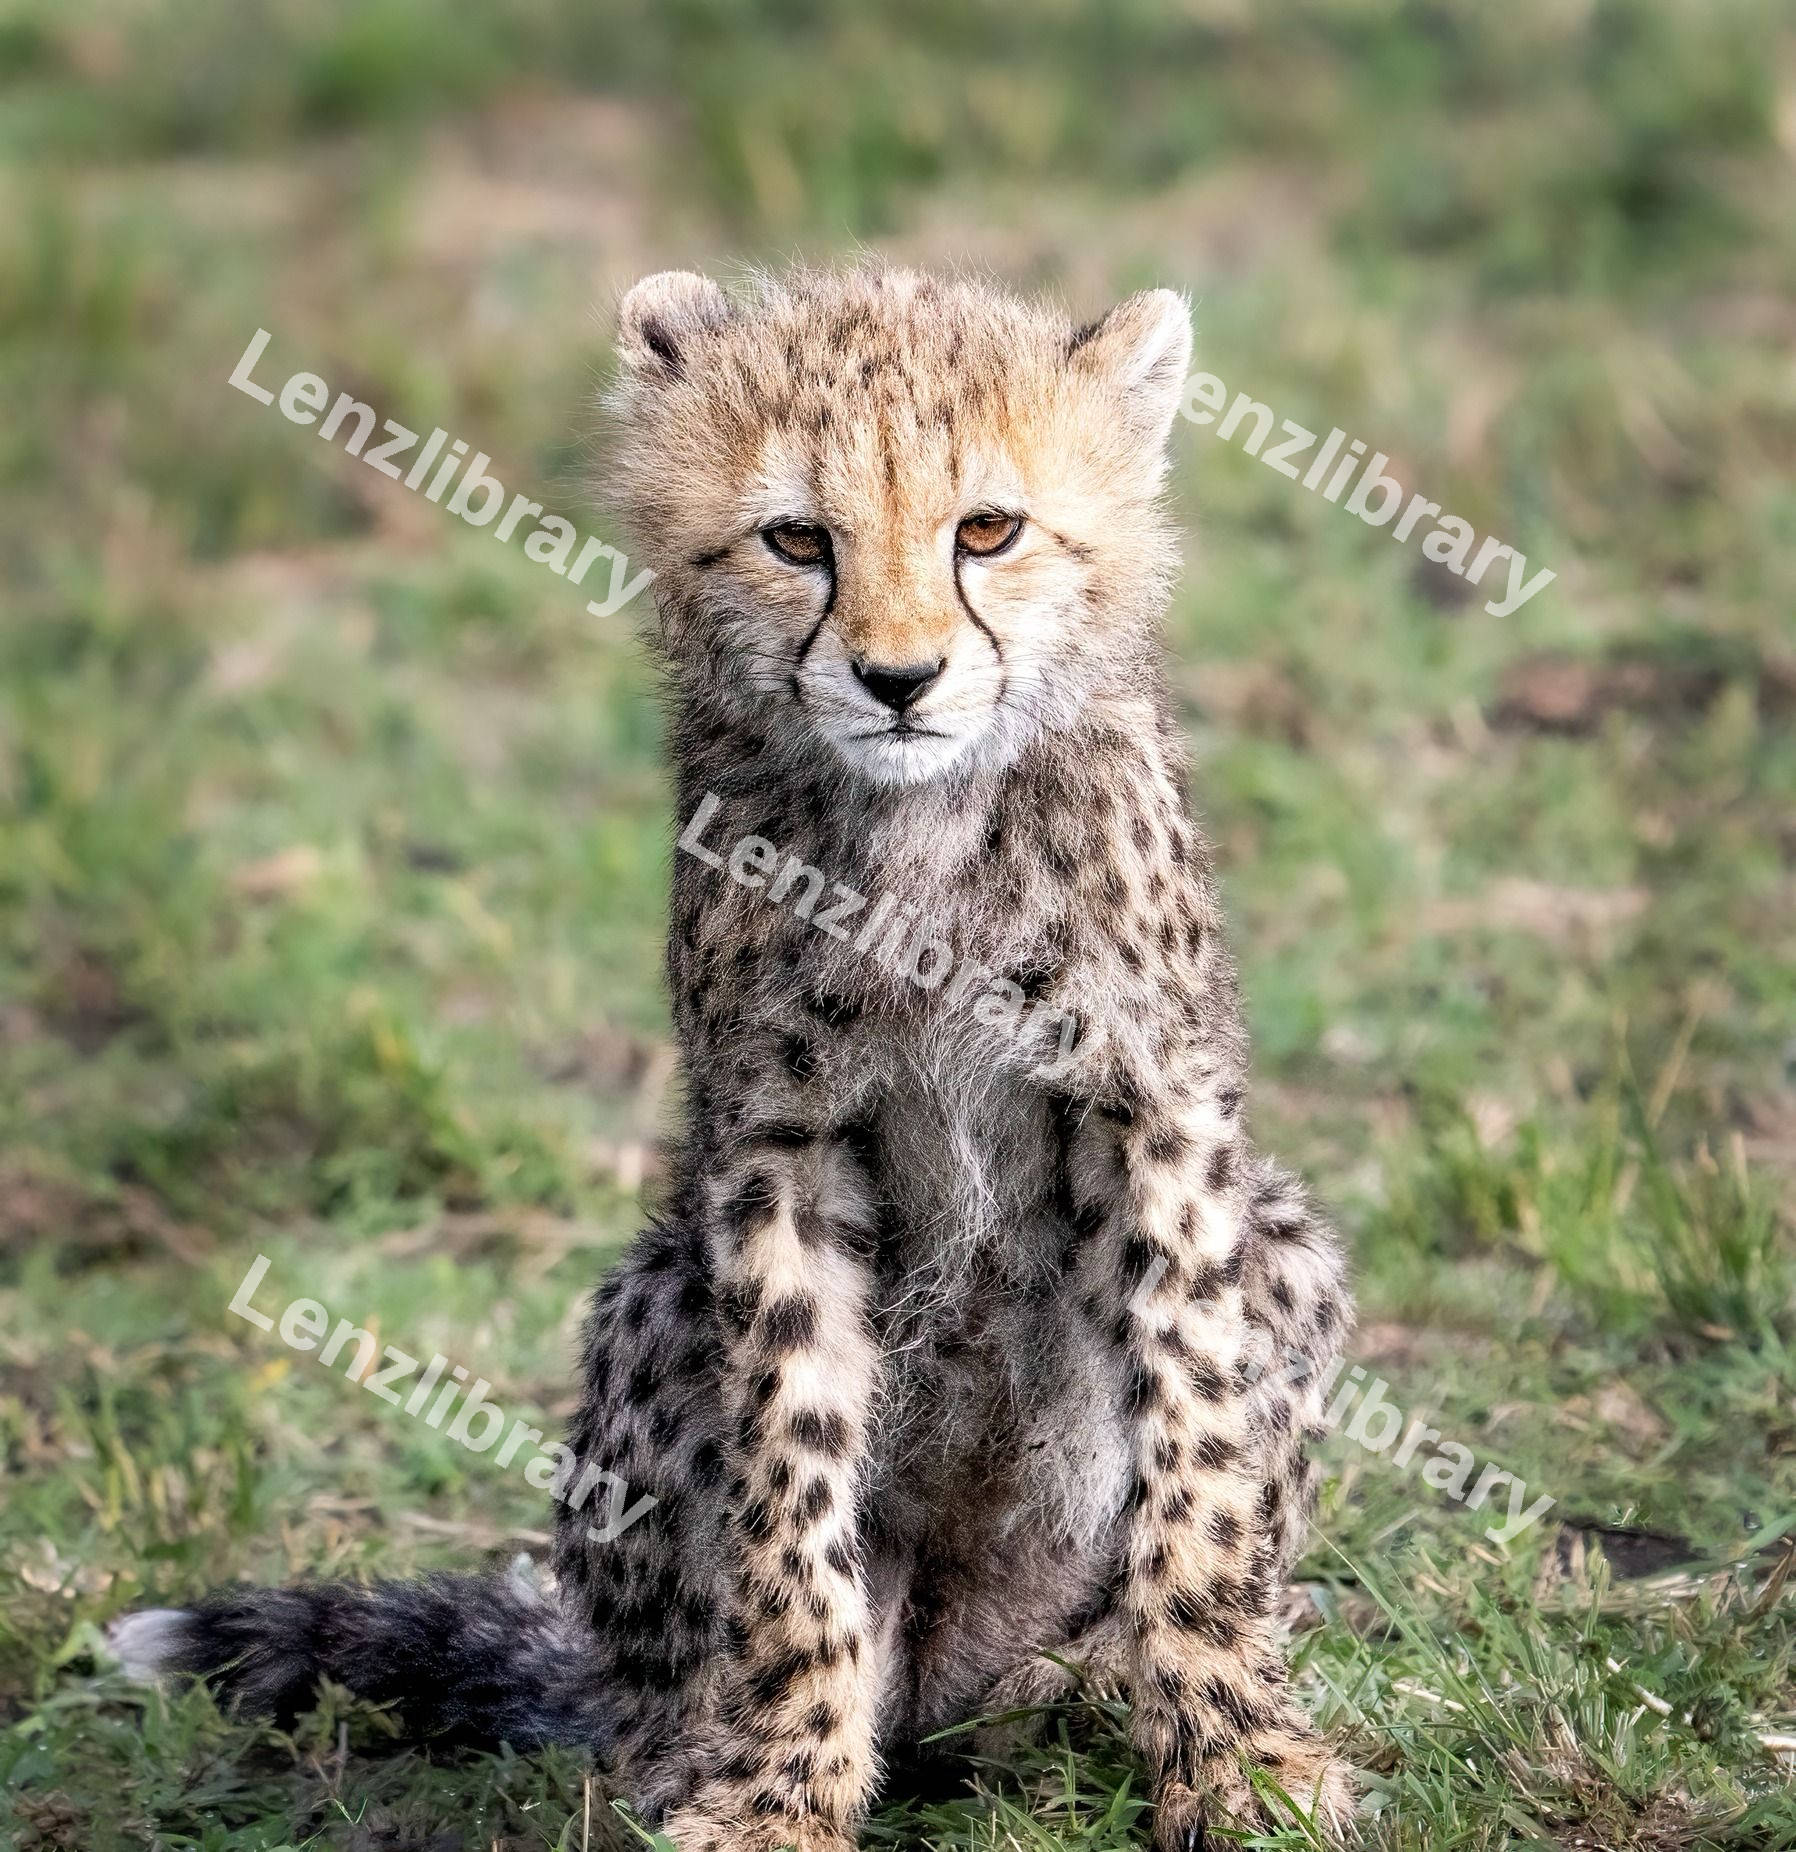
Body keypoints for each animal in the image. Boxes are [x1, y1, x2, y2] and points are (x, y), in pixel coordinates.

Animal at [111, 264, 1356, 1850]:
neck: (921, 824)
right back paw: (705, 1743)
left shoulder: (1152, 1115)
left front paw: (1237, 1756)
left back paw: (1086, 1686)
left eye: (988, 529)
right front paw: (779, 1790)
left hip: (1284, 1252)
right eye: (796, 539)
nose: (898, 679)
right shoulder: (778, 1145)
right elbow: (789, 1482)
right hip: (654, 1299)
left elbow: (1195, 1458)